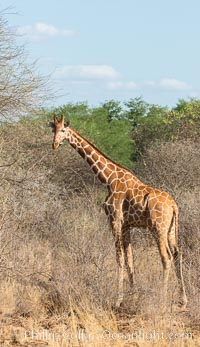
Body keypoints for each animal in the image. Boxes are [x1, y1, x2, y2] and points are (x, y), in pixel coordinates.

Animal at [49, 114, 188, 310]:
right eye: (53, 129)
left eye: (63, 130)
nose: (54, 144)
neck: (108, 179)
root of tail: (174, 205)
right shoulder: (127, 225)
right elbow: (130, 260)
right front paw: (133, 296)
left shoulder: (114, 220)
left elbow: (119, 258)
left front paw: (118, 300)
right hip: (171, 229)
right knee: (177, 254)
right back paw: (183, 300)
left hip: (158, 228)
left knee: (166, 257)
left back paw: (162, 299)